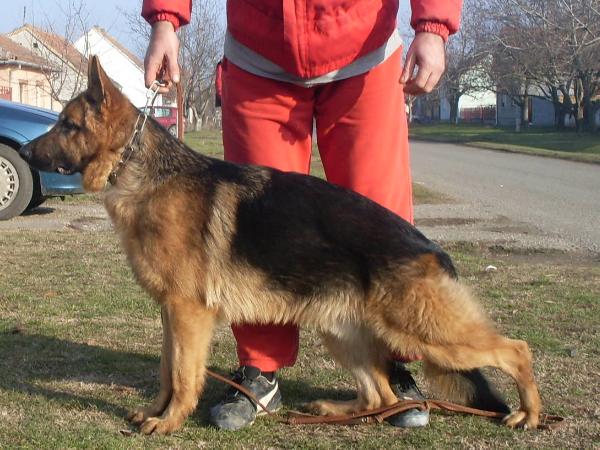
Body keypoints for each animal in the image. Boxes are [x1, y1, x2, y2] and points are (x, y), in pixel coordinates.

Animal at [21, 56, 540, 432]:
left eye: (67, 125)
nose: (23, 151)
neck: (139, 169)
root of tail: (431, 248)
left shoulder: (189, 314)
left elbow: (185, 375)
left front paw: (168, 422)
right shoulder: (171, 313)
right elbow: (168, 370)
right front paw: (155, 411)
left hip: (424, 333)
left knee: (515, 349)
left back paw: (529, 414)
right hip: (341, 332)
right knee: (381, 394)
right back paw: (338, 412)